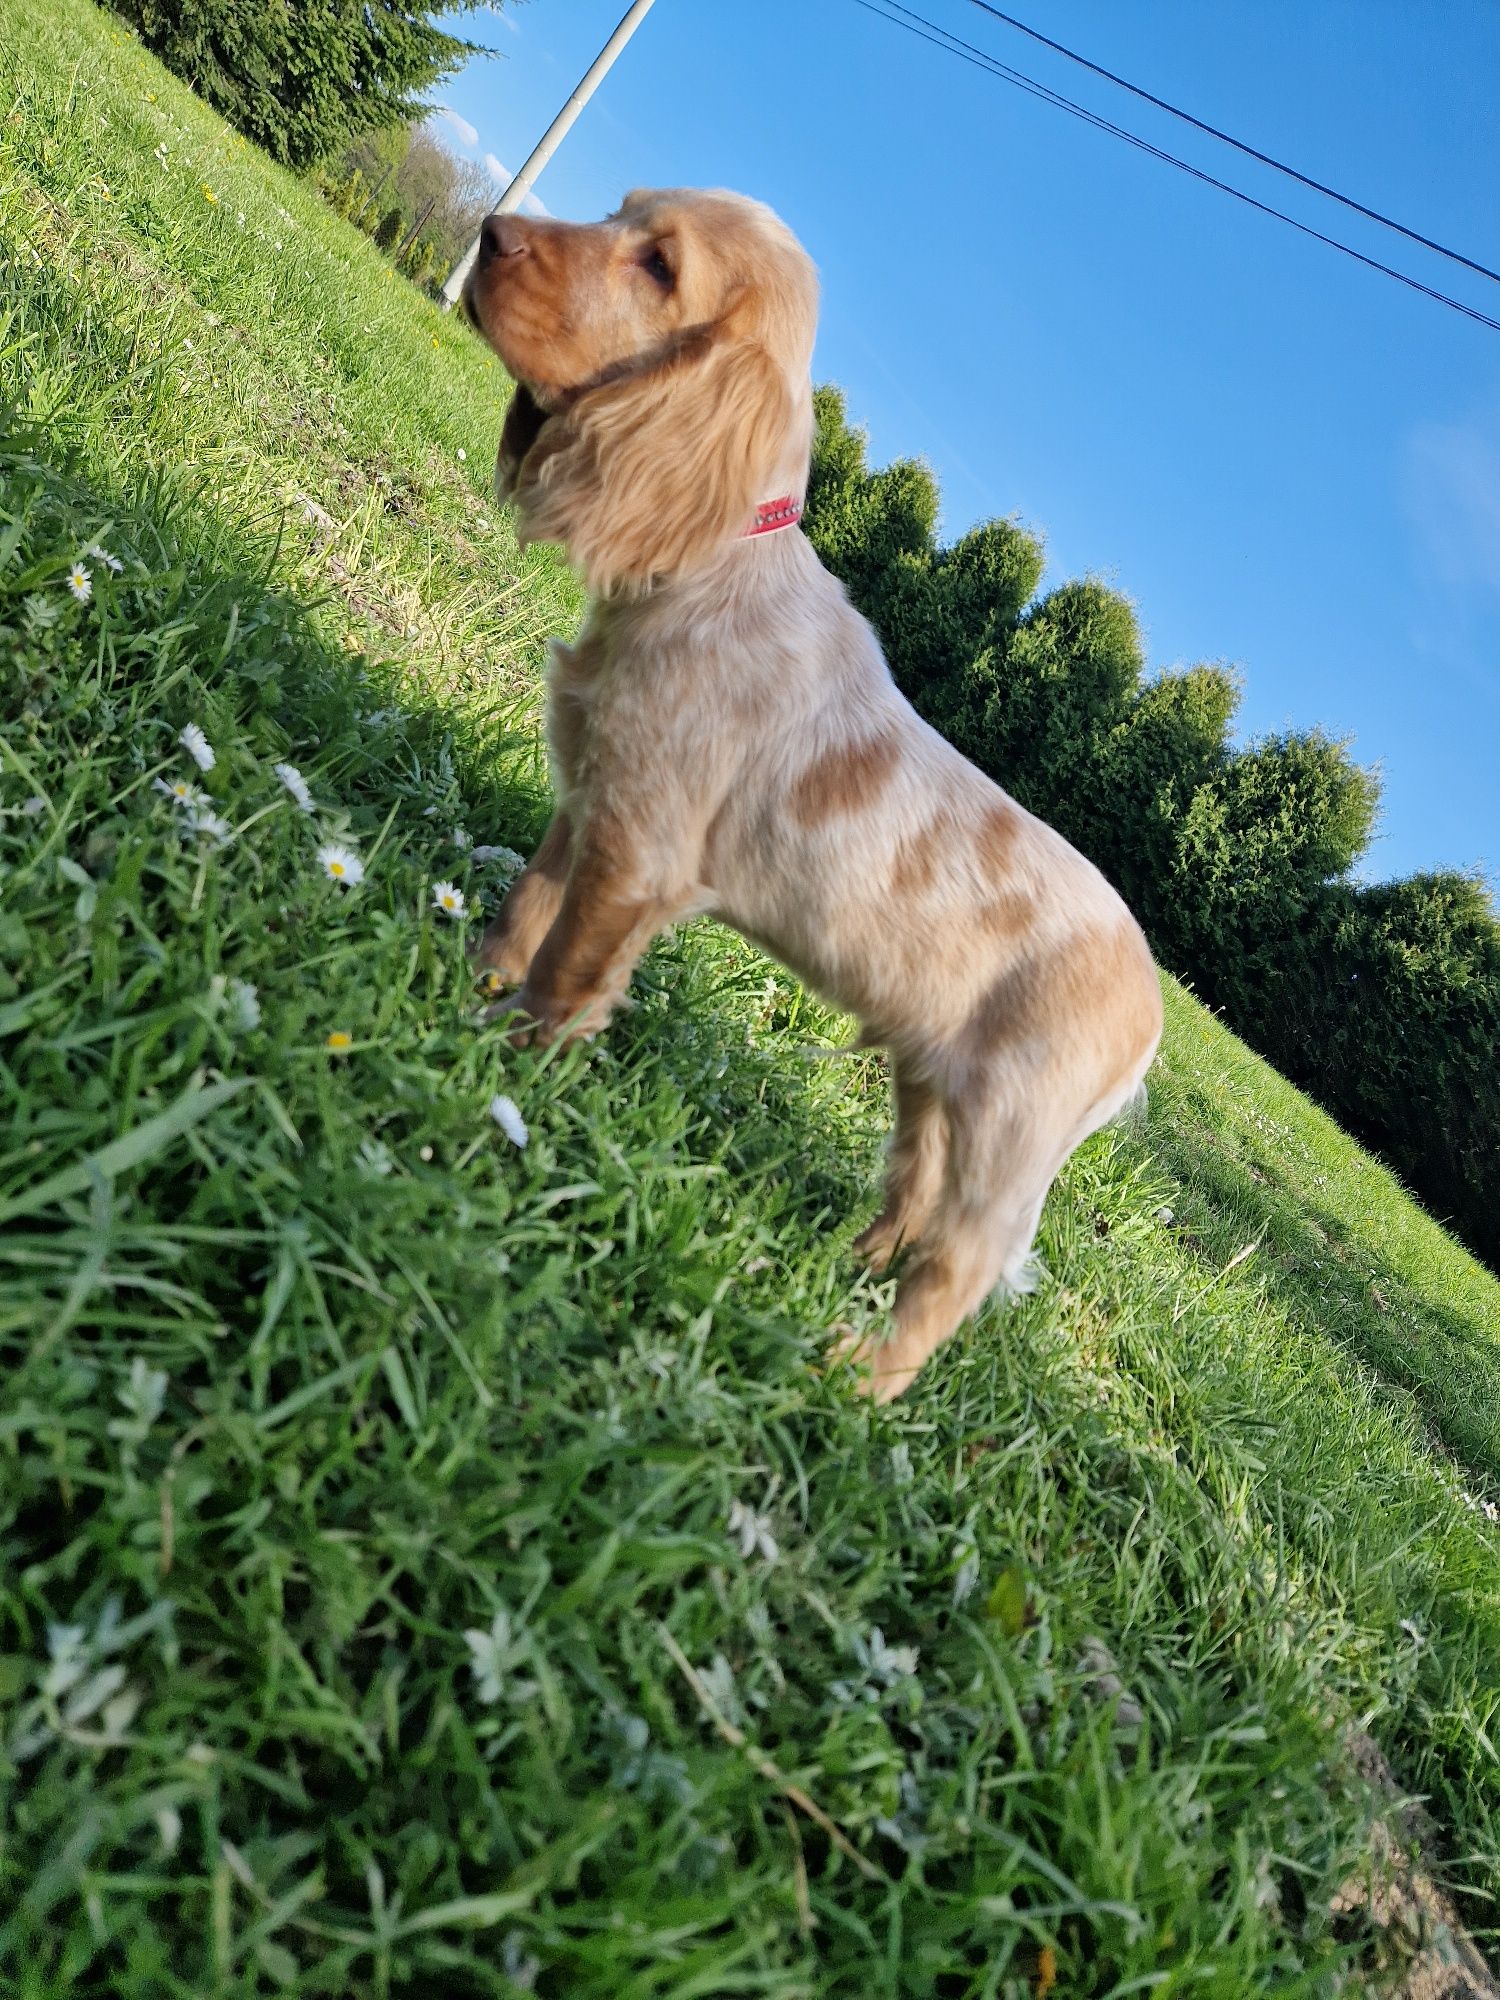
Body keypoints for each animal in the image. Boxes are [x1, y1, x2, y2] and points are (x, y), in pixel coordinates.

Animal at [464, 195, 1168, 1400]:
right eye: (614, 214)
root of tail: (1157, 1011)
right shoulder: (593, 799)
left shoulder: (637, 852)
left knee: (958, 1268)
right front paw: (468, 993)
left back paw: (855, 1377)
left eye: (659, 266)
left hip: (1005, 1140)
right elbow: (524, 916)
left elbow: (563, 978)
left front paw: (509, 1074)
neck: (708, 570)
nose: (494, 228)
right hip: (930, 1087)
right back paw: (840, 1268)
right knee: (910, 1201)